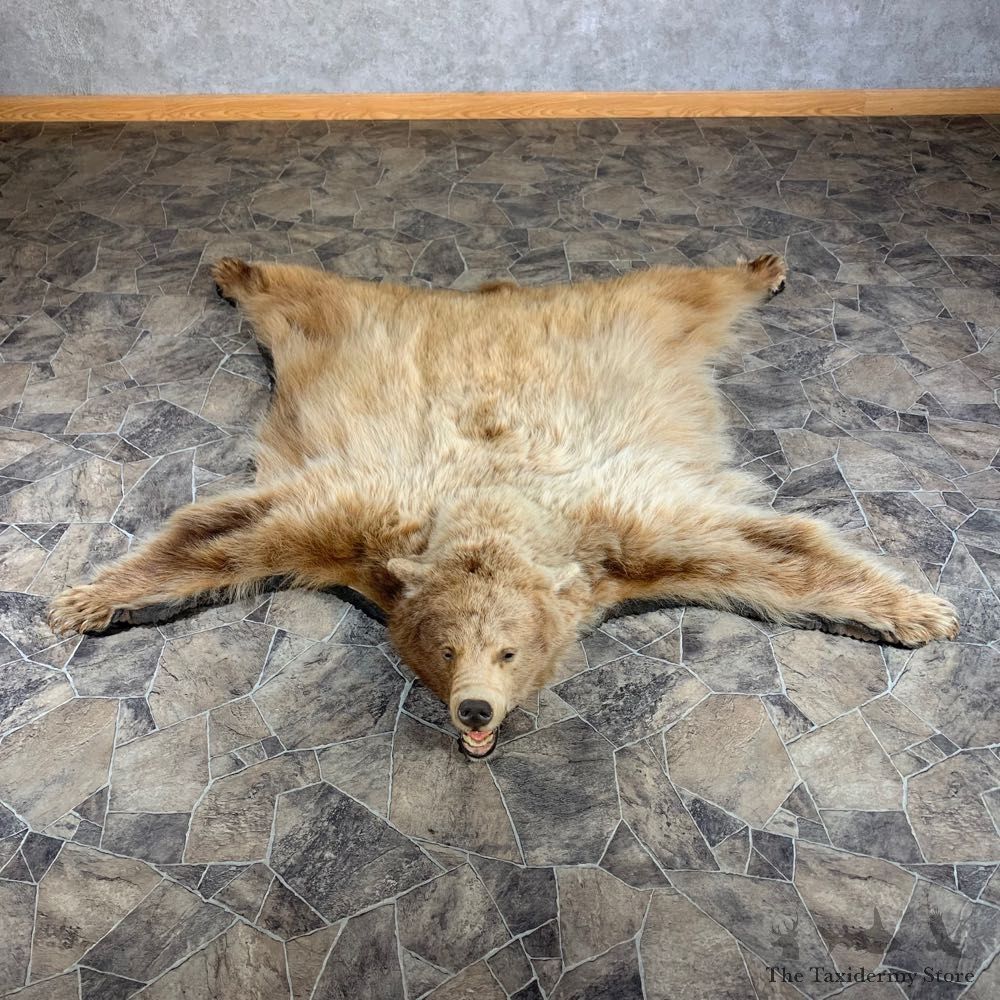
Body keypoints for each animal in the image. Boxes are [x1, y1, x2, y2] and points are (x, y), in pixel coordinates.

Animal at [49, 254, 959, 758]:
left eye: (510, 652)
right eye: (447, 649)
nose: (475, 708)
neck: (492, 510)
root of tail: (494, 294)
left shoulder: (626, 528)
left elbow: (773, 553)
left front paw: (917, 611)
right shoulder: (357, 516)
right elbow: (226, 537)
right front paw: (91, 598)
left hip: (635, 318)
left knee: (687, 290)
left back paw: (759, 266)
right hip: (349, 326)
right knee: (302, 294)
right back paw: (238, 269)